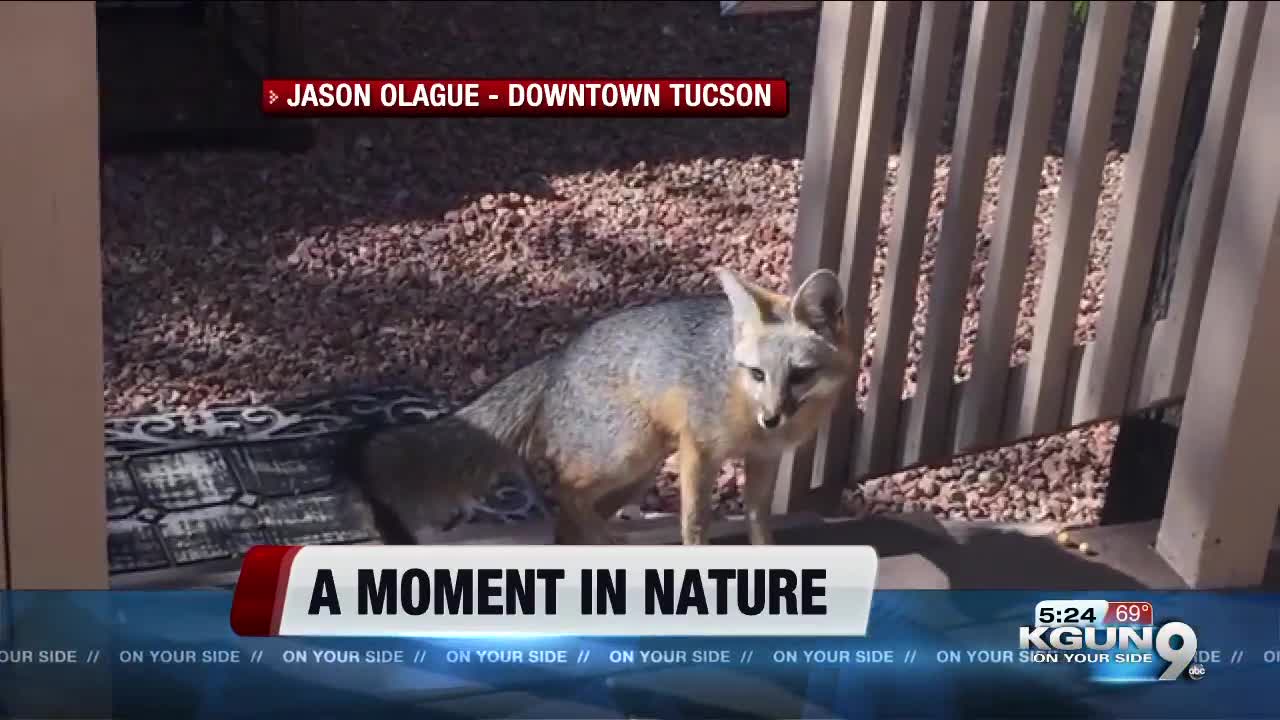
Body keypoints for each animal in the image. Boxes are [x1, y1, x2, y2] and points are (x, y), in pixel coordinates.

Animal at [355, 266, 855, 540]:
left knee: (569, 522)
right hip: (631, 454)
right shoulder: (699, 450)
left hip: (641, 471)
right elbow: (695, 524)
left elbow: (758, 520)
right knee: (567, 495)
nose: (772, 417)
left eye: (800, 375)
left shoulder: (764, 458)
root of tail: (557, 359)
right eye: (757, 374)